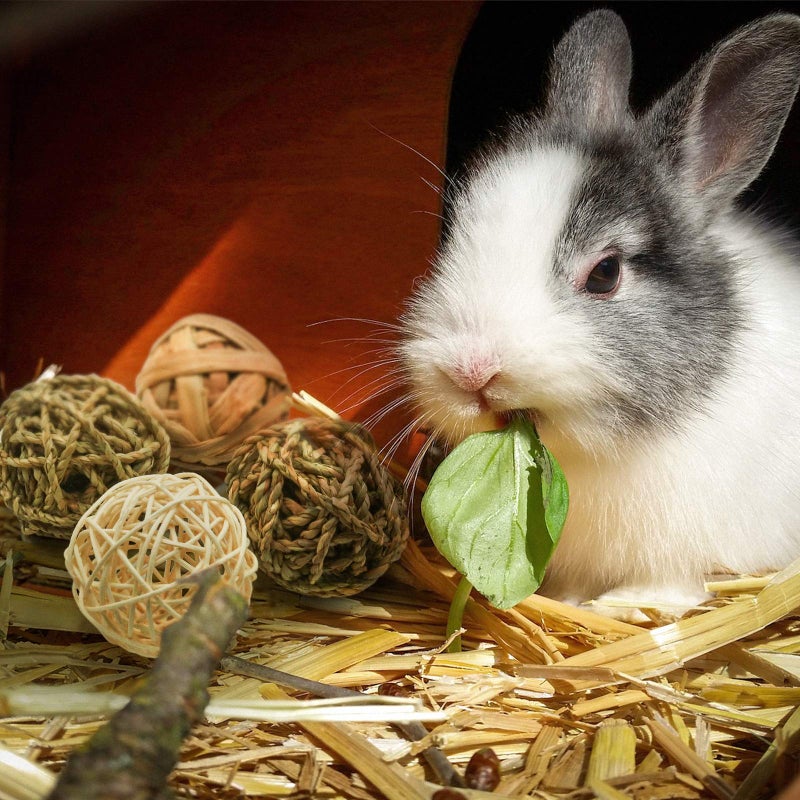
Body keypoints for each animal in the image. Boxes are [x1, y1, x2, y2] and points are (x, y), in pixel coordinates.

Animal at [398, 9, 800, 619]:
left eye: (606, 273)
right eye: (454, 237)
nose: (470, 371)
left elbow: (674, 585)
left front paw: (625, 605)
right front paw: (572, 599)